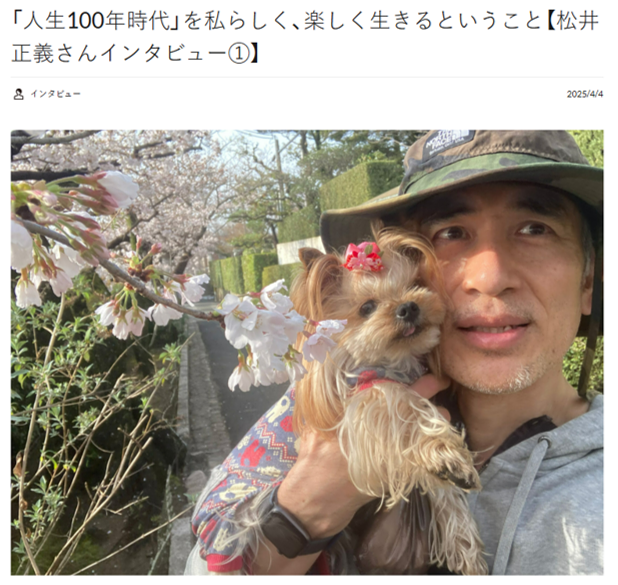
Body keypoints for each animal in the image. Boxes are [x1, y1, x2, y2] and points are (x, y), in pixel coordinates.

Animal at [289, 226, 487, 575]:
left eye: (416, 284)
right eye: (366, 308)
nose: (408, 307)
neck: (395, 361)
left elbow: (446, 494)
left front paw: (465, 546)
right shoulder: (362, 398)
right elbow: (396, 401)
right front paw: (445, 454)